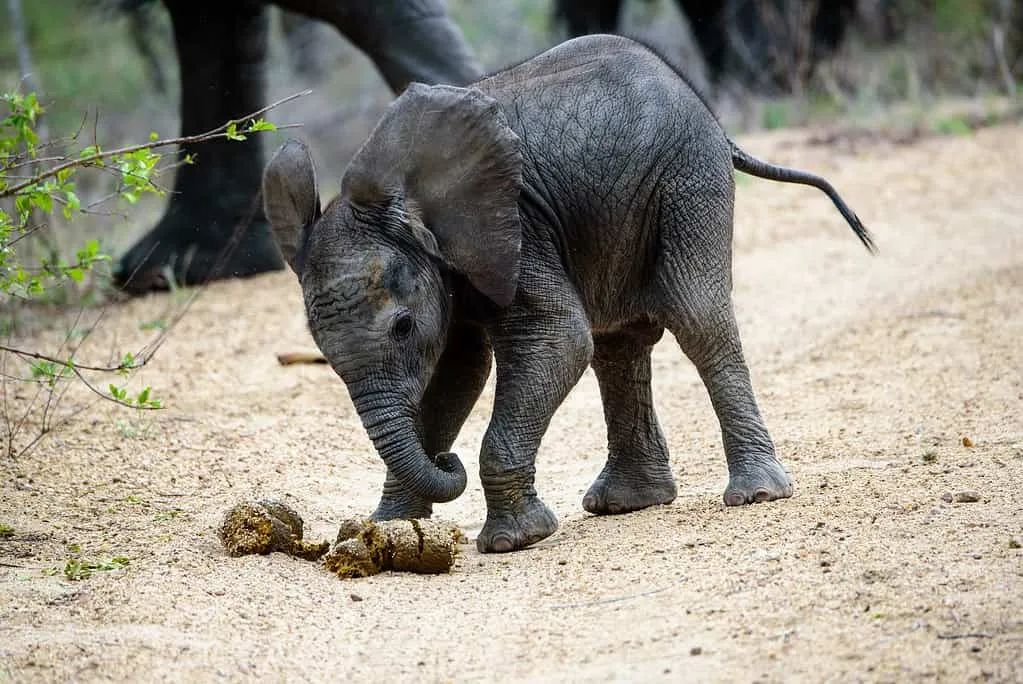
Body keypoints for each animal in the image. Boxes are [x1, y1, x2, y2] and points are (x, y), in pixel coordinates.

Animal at [261, 34, 871, 552]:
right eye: (320, 349)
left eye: (403, 326)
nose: (447, 462)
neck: (403, 202)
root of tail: (710, 116)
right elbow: (459, 373)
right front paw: (383, 532)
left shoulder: (519, 229)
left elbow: (557, 340)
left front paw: (514, 541)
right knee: (618, 344)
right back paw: (628, 503)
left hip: (687, 177)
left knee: (698, 319)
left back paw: (756, 494)